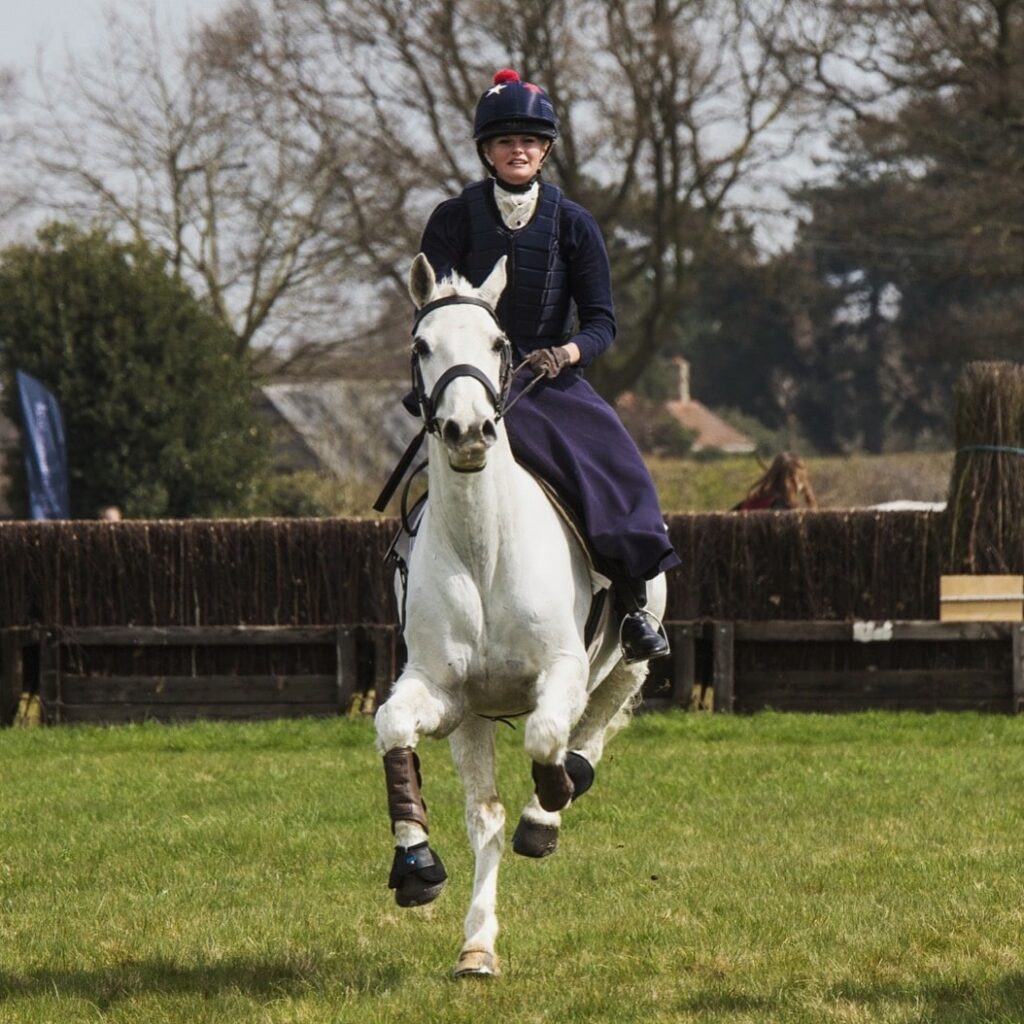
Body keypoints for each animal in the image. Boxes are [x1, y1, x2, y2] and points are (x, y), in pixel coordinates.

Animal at [374, 252, 667, 978]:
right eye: (422, 347)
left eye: (498, 344)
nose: (468, 433)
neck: (484, 547)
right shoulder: (446, 695)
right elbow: (396, 731)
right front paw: (416, 866)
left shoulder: (561, 672)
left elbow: (545, 737)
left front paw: (553, 797)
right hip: (474, 718)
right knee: (488, 816)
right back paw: (477, 945)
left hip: (628, 662)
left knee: (595, 724)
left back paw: (552, 805)